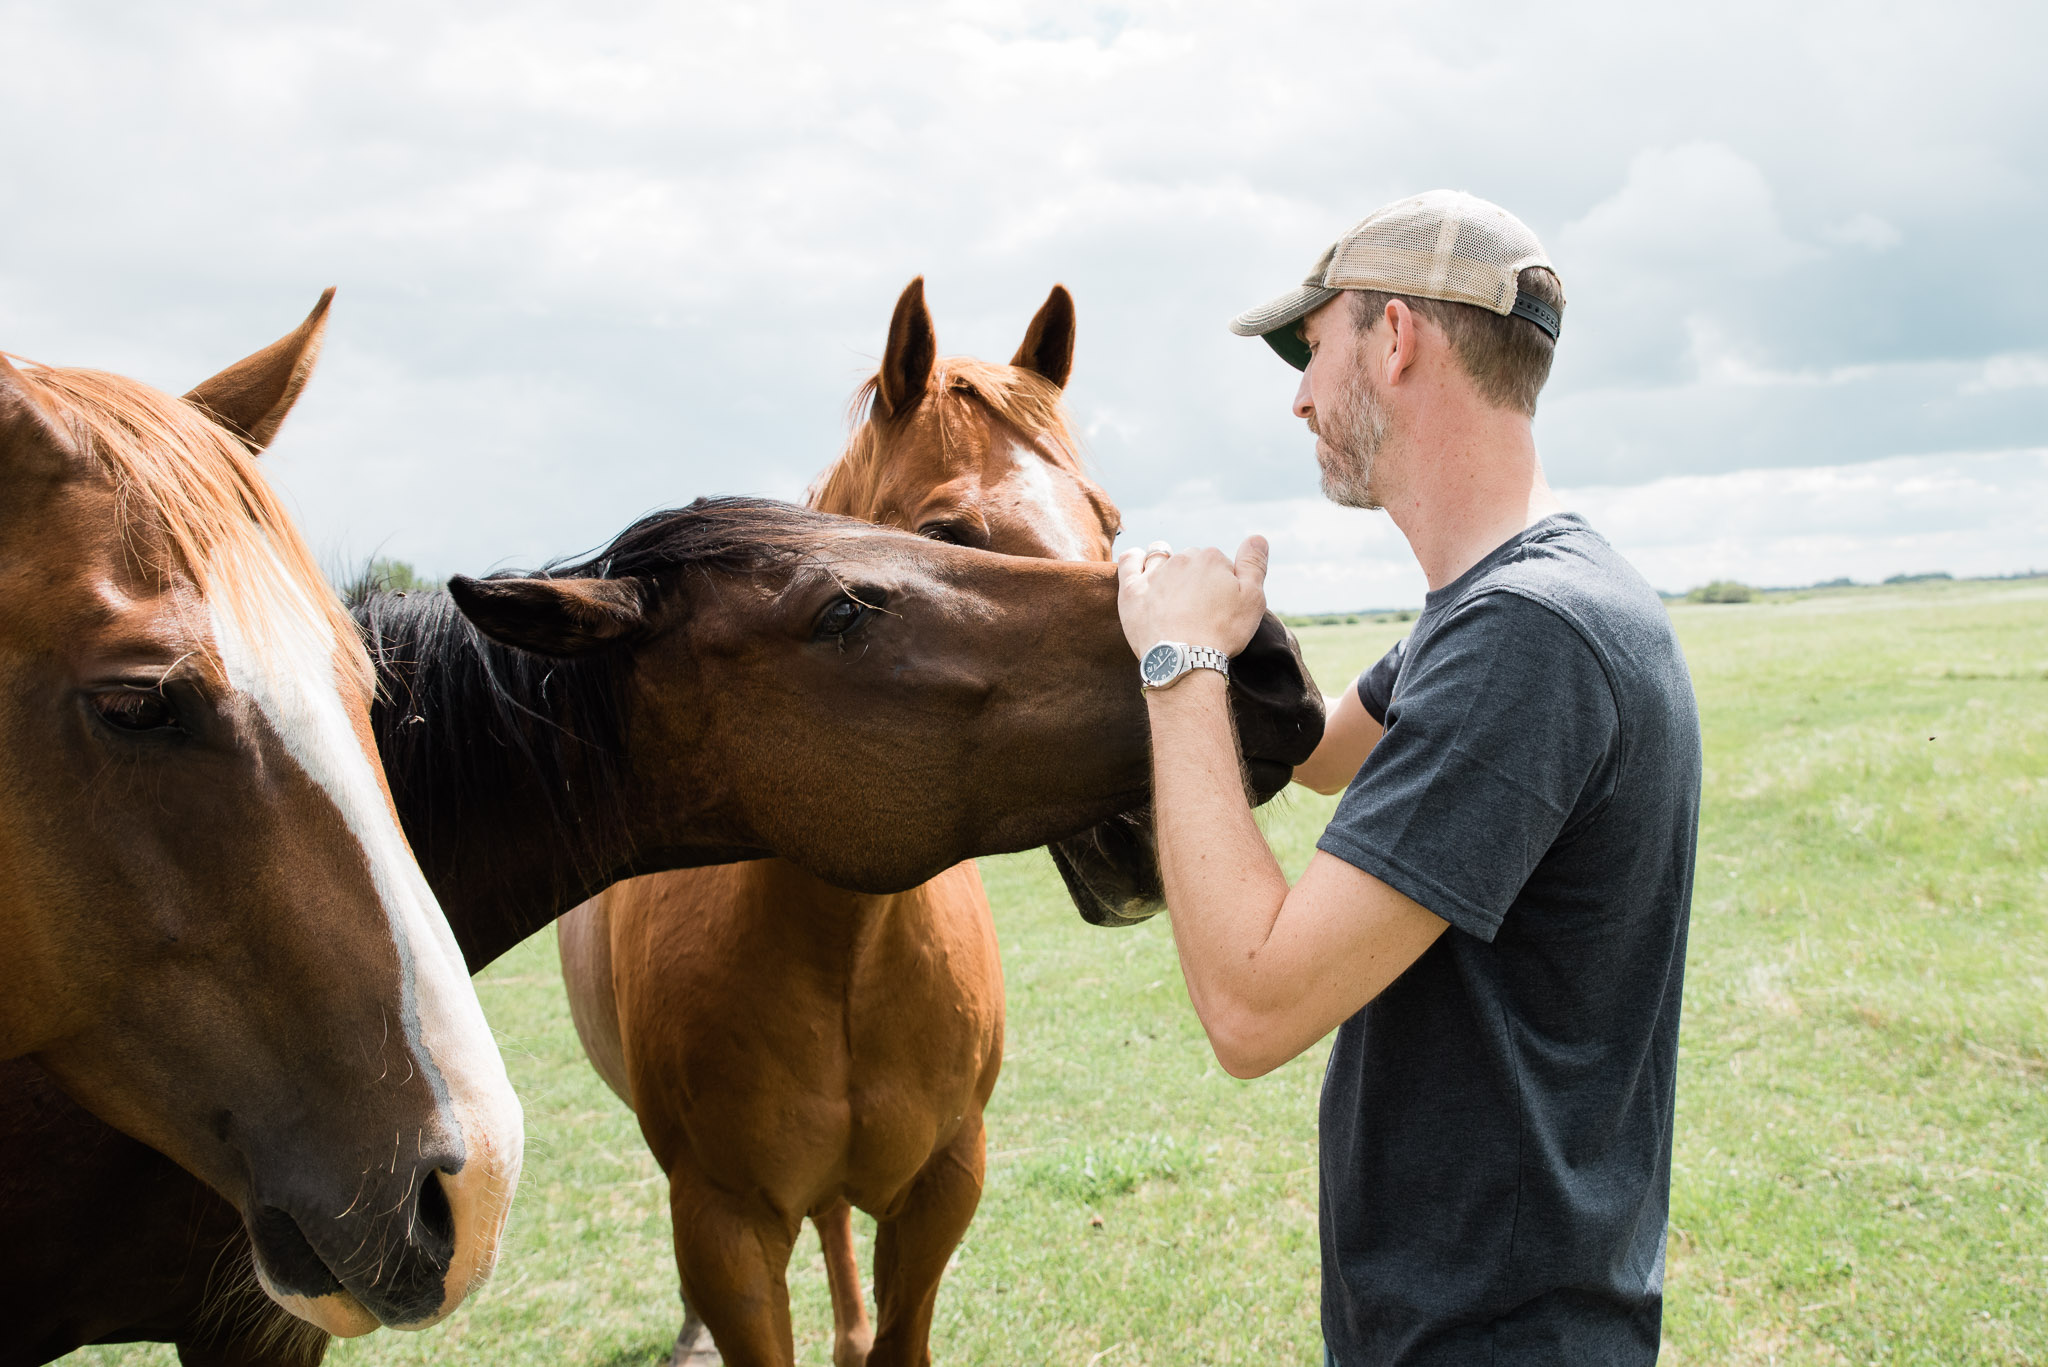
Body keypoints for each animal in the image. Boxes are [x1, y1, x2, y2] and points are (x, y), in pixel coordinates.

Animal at [561, 278, 1130, 1367]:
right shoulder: (725, 1223)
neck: (846, 942)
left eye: (1107, 521)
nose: (1148, 822)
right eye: (947, 534)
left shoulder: (946, 1183)